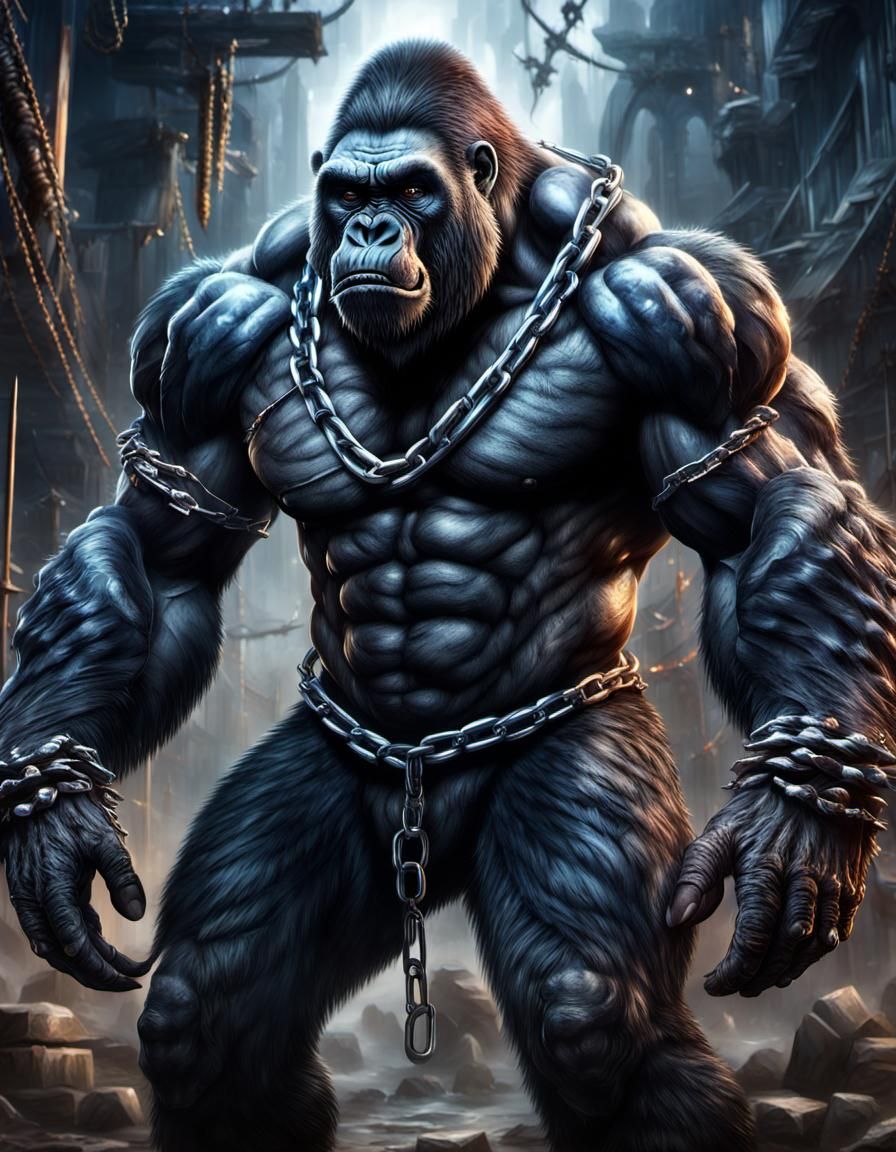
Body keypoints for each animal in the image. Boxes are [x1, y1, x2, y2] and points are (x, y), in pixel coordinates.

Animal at [1, 39, 894, 1152]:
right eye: (348, 194)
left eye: (412, 192)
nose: (370, 230)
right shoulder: (201, 326)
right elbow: (166, 549)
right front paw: (54, 826)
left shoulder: (695, 305)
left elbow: (766, 506)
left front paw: (796, 828)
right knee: (211, 998)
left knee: (586, 1007)